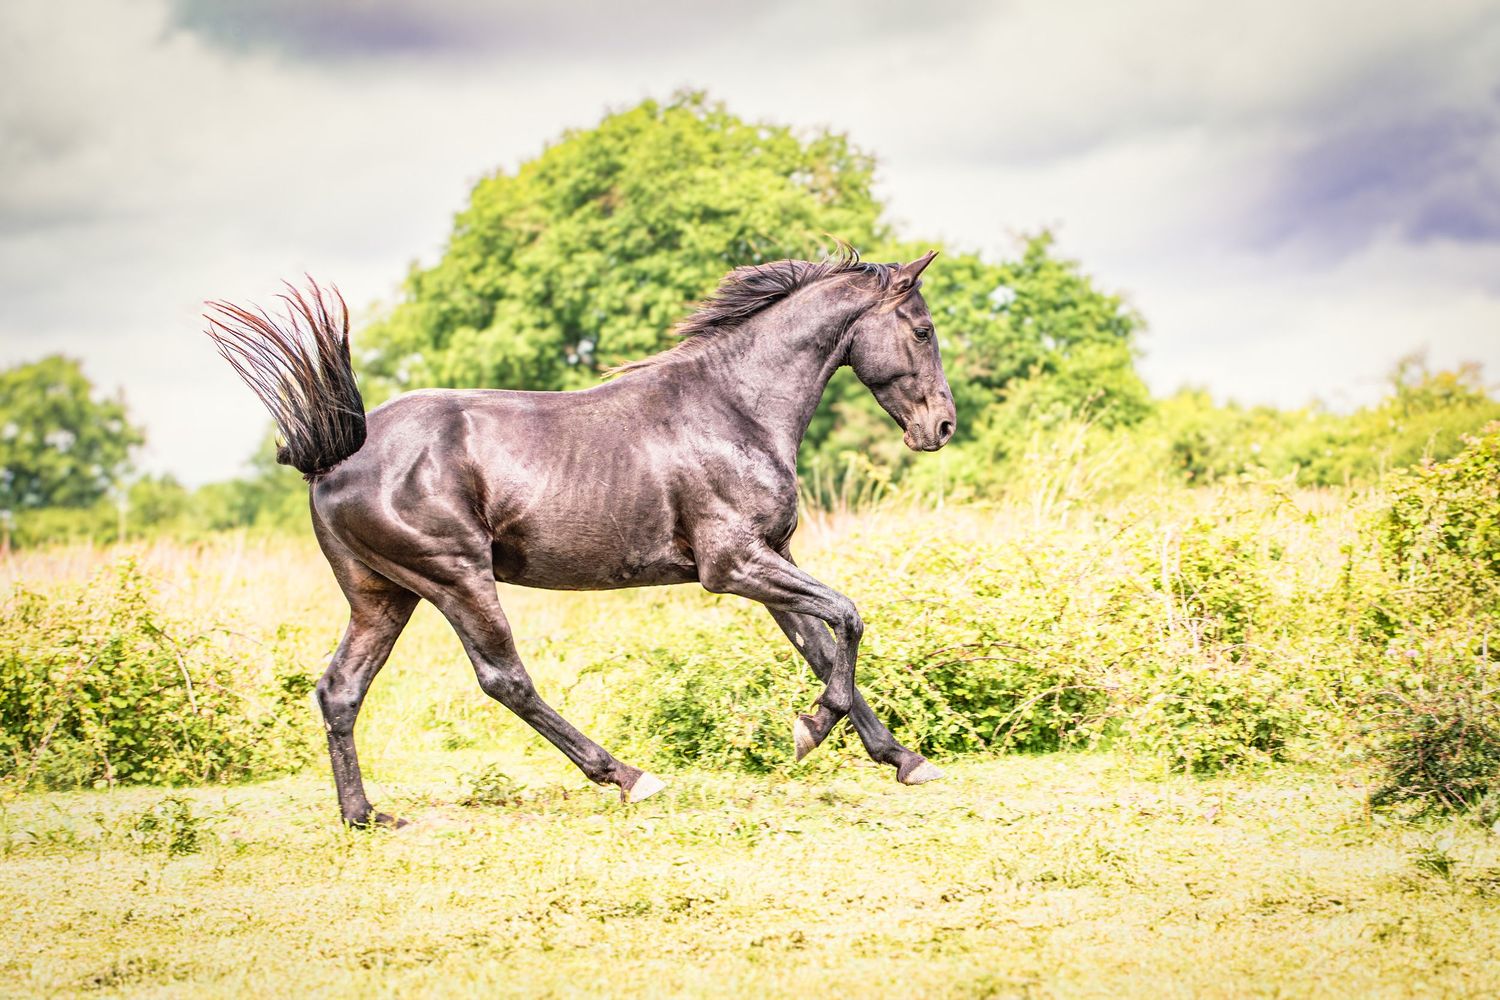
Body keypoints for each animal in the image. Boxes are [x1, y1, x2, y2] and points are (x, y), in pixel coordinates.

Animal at [206, 247, 956, 827]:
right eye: (922, 330)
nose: (942, 428)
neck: (733, 408)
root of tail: (332, 456)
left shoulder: (771, 560)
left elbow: (821, 647)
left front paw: (903, 759)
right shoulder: (734, 565)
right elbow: (848, 618)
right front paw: (810, 730)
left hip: (383, 595)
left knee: (341, 689)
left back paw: (364, 816)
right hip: (454, 577)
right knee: (505, 678)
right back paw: (629, 776)